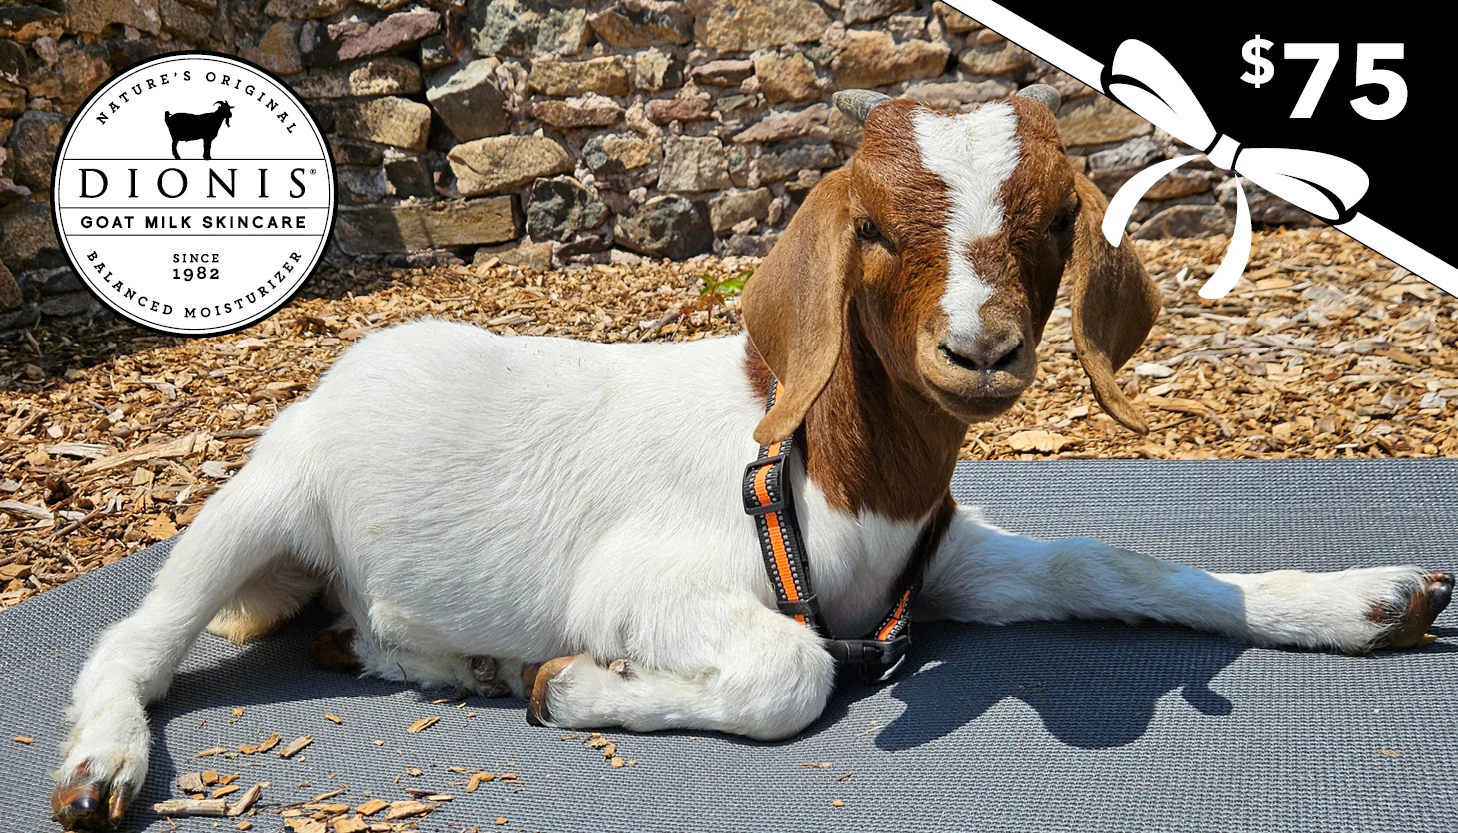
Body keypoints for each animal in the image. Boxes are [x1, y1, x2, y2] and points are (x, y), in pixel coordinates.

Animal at [52, 86, 1451, 831]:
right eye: (875, 228)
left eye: (1055, 218)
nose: (979, 350)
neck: (828, 469)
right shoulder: (650, 581)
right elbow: (790, 671)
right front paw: (580, 683)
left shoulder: (933, 563)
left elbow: (1107, 563)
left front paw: (1359, 601)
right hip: (259, 501)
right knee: (136, 639)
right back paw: (103, 759)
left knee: (367, 633)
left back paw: (449, 659)